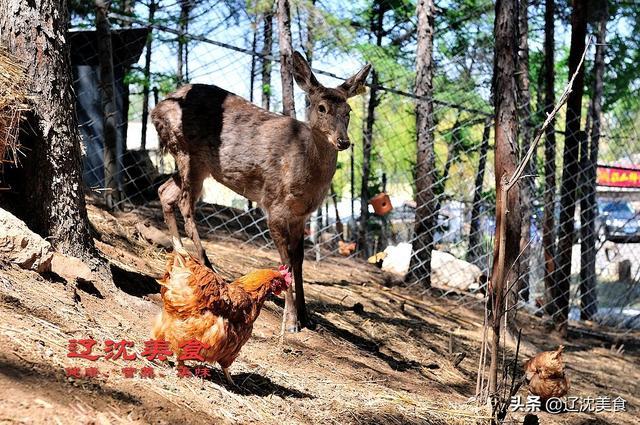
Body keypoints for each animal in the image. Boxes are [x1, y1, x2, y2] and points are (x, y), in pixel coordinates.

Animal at [151, 52, 370, 332]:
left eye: (348, 111)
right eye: (322, 108)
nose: (344, 141)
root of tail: (155, 109)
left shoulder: (302, 216)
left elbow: (299, 261)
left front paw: (306, 316)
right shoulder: (274, 206)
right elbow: (286, 262)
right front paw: (291, 321)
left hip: (196, 164)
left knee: (165, 190)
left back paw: (181, 254)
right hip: (186, 152)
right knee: (185, 204)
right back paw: (206, 265)